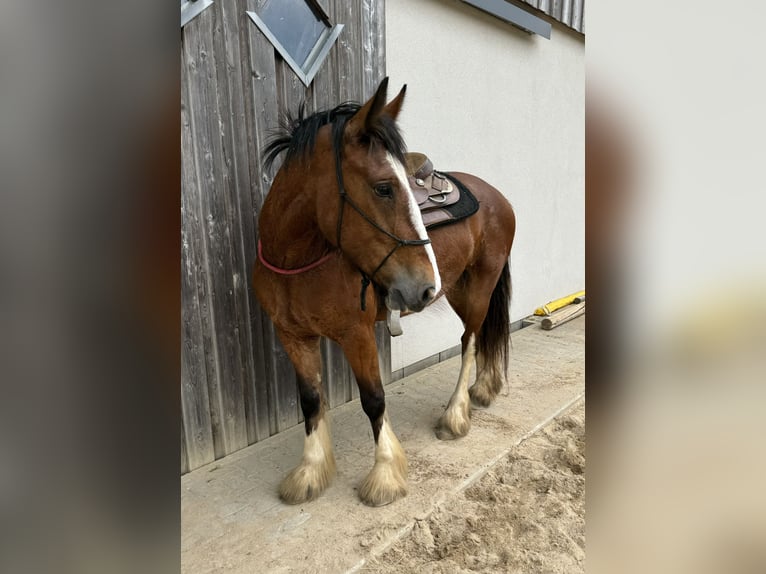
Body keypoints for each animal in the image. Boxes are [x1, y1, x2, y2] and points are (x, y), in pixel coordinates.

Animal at [255, 77, 520, 508]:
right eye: (383, 188)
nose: (425, 286)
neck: (297, 262)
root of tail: (498, 197)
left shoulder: (357, 334)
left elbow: (373, 399)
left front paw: (384, 475)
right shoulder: (292, 335)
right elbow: (311, 399)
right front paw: (310, 471)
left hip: (480, 284)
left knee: (469, 340)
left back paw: (456, 414)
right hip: (459, 288)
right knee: (483, 336)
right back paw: (484, 388)